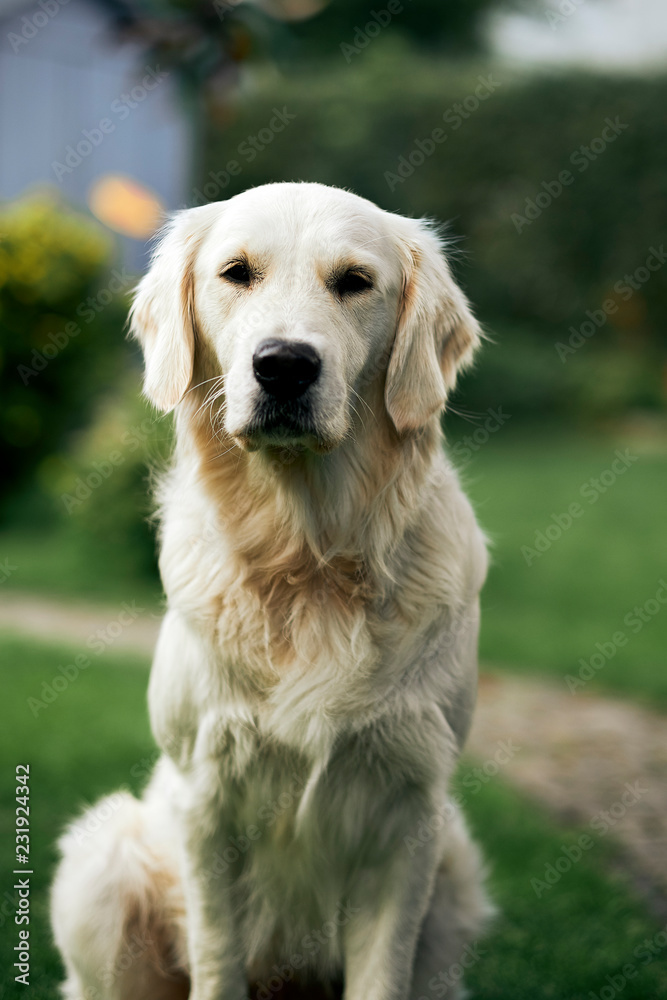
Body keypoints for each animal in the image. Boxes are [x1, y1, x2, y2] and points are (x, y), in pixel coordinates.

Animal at [51, 184, 490, 996]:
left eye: (355, 281)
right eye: (236, 273)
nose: (284, 366)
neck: (308, 561)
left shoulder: (409, 812)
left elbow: (381, 973)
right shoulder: (207, 802)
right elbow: (218, 958)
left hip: (455, 869)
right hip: (102, 861)